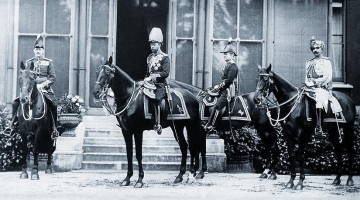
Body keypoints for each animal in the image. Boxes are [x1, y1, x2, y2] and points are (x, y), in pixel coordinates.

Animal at [91, 56, 207, 188]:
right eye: (97, 72)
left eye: (107, 72)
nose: (96, 92)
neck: (129, 97)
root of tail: (194, 97)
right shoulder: (126, 131)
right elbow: (129, 154)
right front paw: (127, 178)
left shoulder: (138, 131)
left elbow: (138, 154)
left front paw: (140, 180)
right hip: (177, 127)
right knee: (185, 146)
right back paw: (180, 176)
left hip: (191, 126)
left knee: (193, 147)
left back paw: (191, 174)